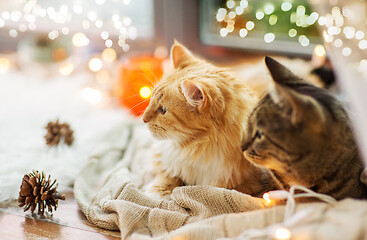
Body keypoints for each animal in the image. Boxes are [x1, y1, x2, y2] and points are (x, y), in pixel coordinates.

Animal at [142, 42, 274, 197]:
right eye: (151, 100)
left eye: (163, 110)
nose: (143, 119)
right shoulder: (164, 159)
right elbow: (167, 176)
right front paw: (155, 192)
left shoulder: (245, 184)